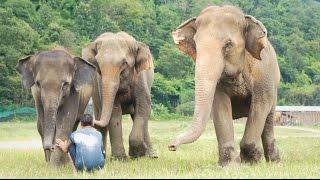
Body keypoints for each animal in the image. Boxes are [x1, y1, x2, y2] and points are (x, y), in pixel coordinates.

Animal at [82, 31, 157, 160]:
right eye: (98, 65)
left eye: (124, 64)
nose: (87, 118)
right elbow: (114, 112)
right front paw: (121, 159)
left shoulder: (140, 78)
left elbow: (143, 107)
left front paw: (137, 153)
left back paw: (151, 156)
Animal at [169, 5, 282, 166]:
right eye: (196, 45)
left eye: (228, 45)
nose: (171, 146)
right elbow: (220, 105)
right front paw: (230, 165)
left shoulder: (262, 75)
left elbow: (260, 105)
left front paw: (251, 162)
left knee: (268, 119)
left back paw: (275, 162)